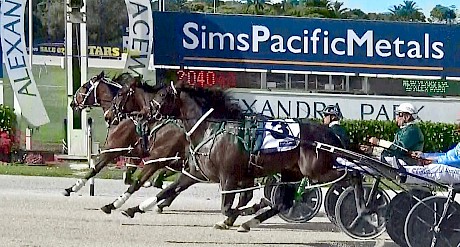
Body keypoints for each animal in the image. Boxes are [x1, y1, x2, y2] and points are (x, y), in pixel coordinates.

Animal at [117, 83, 344, 232]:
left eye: (163, 94)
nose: (144, 113)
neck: (211, 130)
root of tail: (330, 135)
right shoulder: (194, 173)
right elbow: (167, 191)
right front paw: (132, 208)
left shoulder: (229, 177)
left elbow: (228, 208)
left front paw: (237, 214)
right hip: (292, 172)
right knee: (283, 203)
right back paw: (250, 222)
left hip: (317, 170)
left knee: (343, 177)